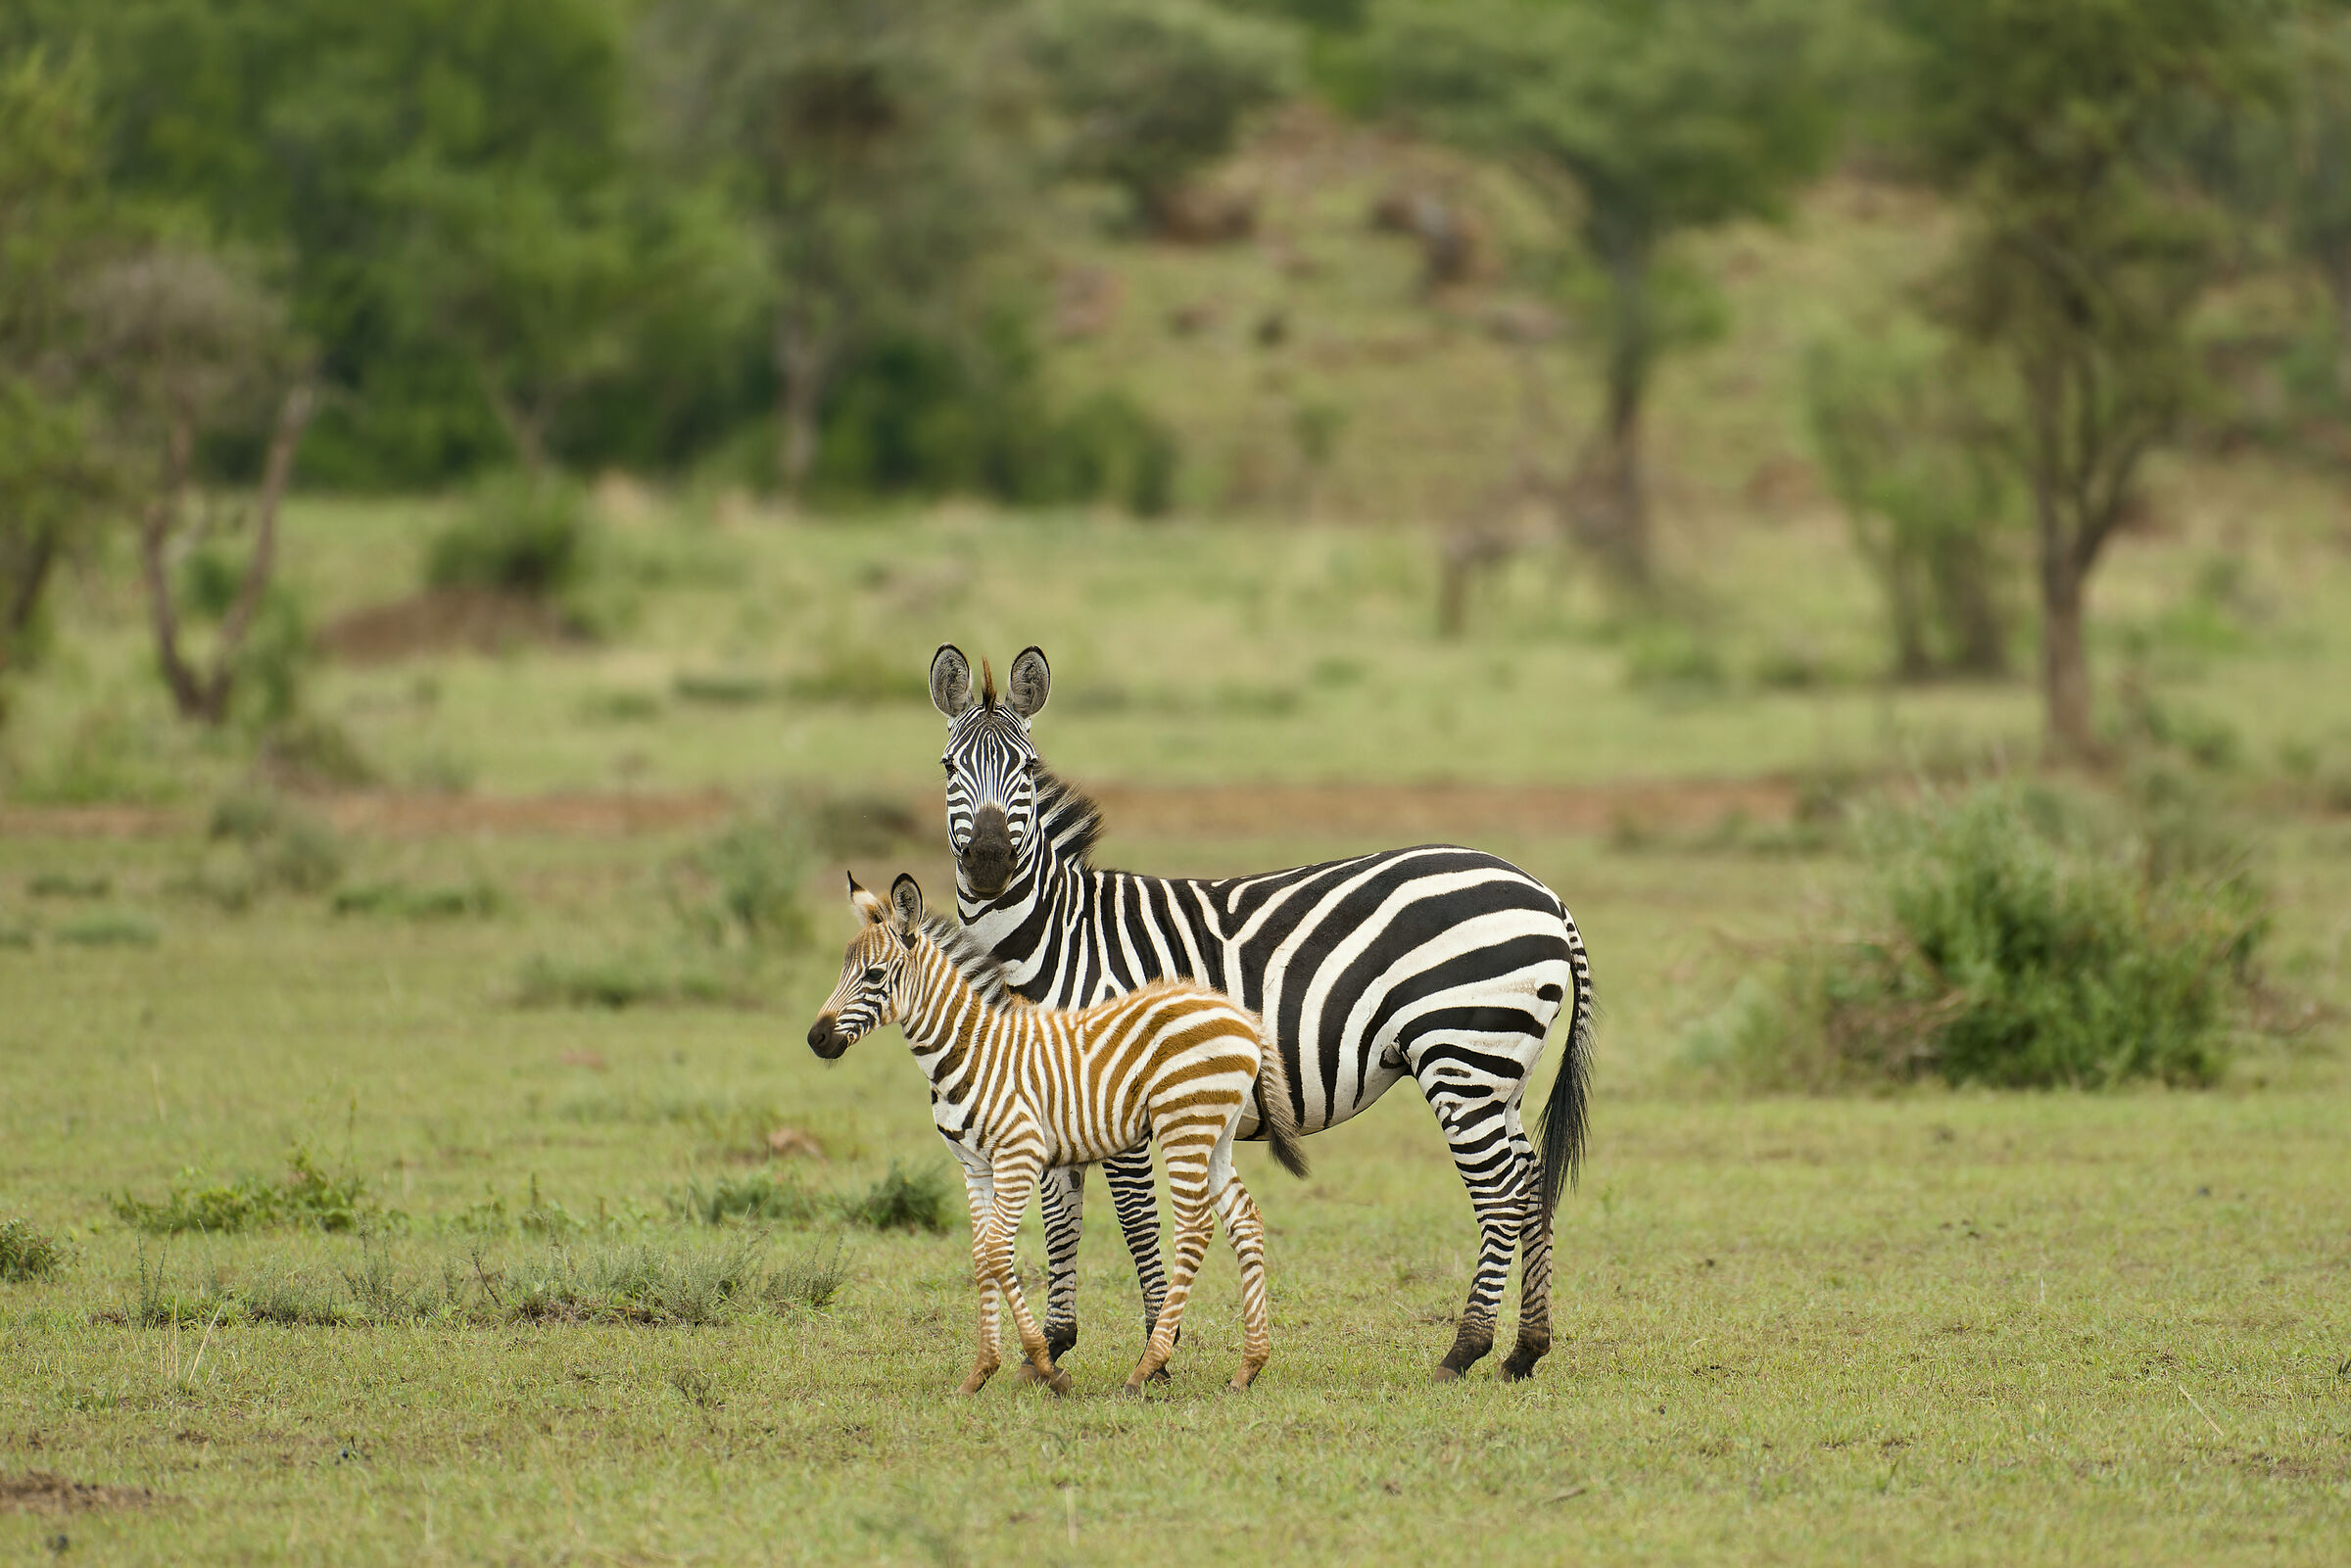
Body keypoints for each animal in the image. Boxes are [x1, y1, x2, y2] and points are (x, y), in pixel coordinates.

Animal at [807, 871, 1310, 1395]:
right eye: (843, 970)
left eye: (874, 975)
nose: (815, 1039)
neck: (968, 1050)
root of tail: (1243, 1017)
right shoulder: (974, 1166)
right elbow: (982, 1256)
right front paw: (980, 1372)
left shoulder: (1019, 1154)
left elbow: (996, 1251)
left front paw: (1045, 1366)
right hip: (1217, 1133)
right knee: (1244, 1219)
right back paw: (1249, 1366)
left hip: (1183, 1125)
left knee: (1195, 1227)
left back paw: (1148, 1367)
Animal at [929, 643, 1593, 1382]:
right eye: (950, 767)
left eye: (1026, 770)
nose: (990, 863)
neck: (1054, 936)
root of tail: (1544, 894)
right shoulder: (1050, 1091)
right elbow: (1060, 1214)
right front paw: (1051, 1345)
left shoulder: (1115, 1095)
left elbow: (1134, 1217)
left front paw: (1154, 1351)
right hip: (1502, 1066)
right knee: (1529, 1181)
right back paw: (1525, 1347)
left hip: (1462, 1054)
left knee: (1500, 1192)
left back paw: (1465, 1348)